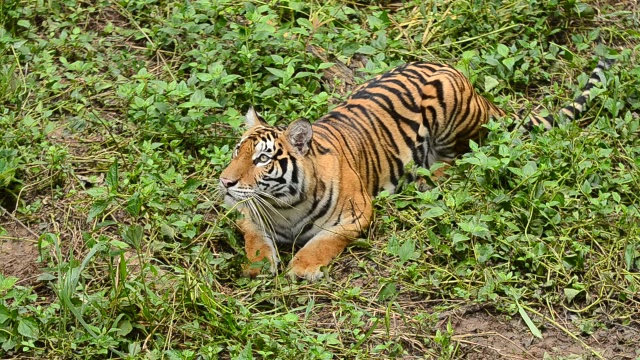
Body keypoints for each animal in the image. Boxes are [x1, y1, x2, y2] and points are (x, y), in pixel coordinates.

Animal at [218, 59, 612, 280]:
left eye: (262, 159)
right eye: (238, 151)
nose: (224, 182)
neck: (284, 205)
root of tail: (467, 80)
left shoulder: (357, 214)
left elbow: (324, 241)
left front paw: (302, 266)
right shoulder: (247, 214)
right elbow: (255, 239)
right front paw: (258, 267)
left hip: (453, 119)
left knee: (463, 156)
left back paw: (426, 179)